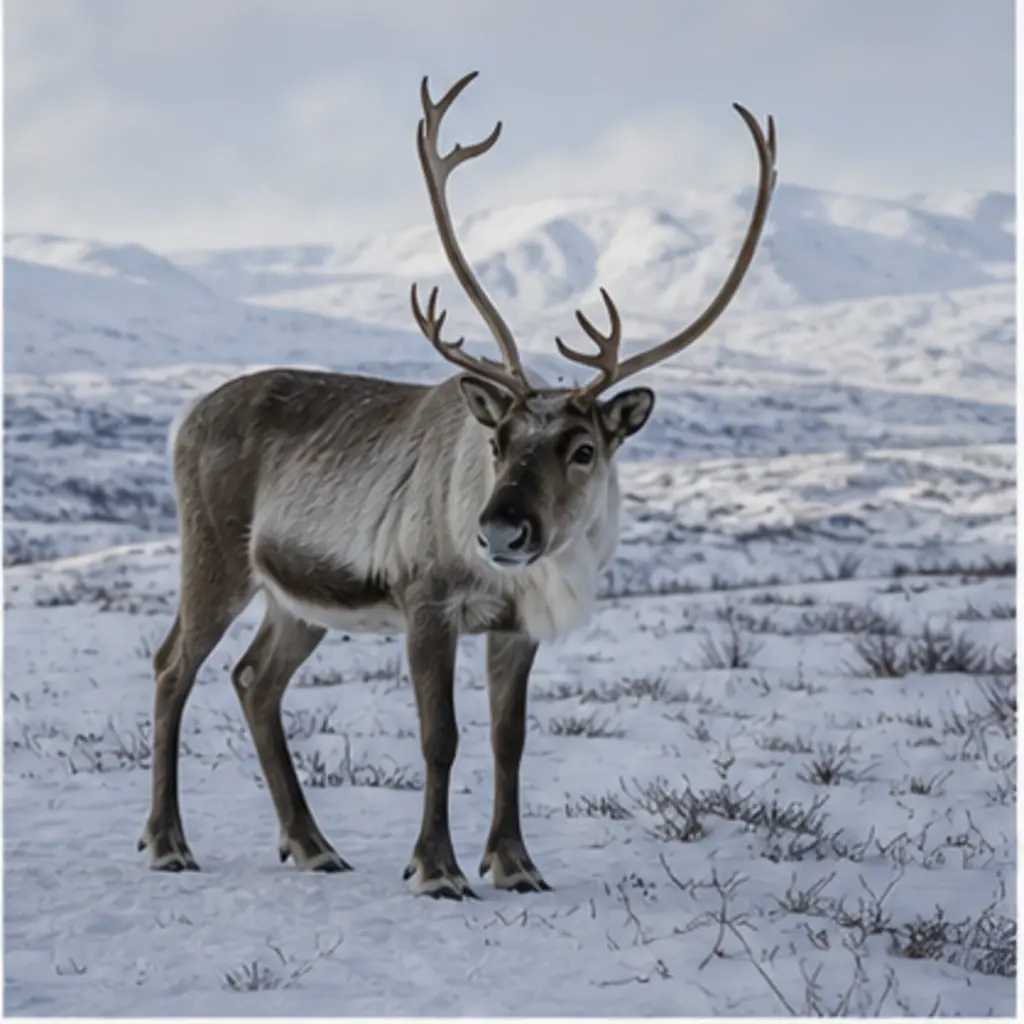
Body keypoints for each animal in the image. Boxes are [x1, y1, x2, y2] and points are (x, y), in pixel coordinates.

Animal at [139, 70, 777, 899]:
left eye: (582, 448)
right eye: (498, 440)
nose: (502, 529)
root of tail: (186, 415)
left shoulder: (514, 628)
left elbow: (511, 739)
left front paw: (515, 864)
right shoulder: (427, 602)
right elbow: (439, 736)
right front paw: (436, 868)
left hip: (298, 597)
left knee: (255, 678)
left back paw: (312, 844)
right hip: (214, 555)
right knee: (173, 665)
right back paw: (167, 841)